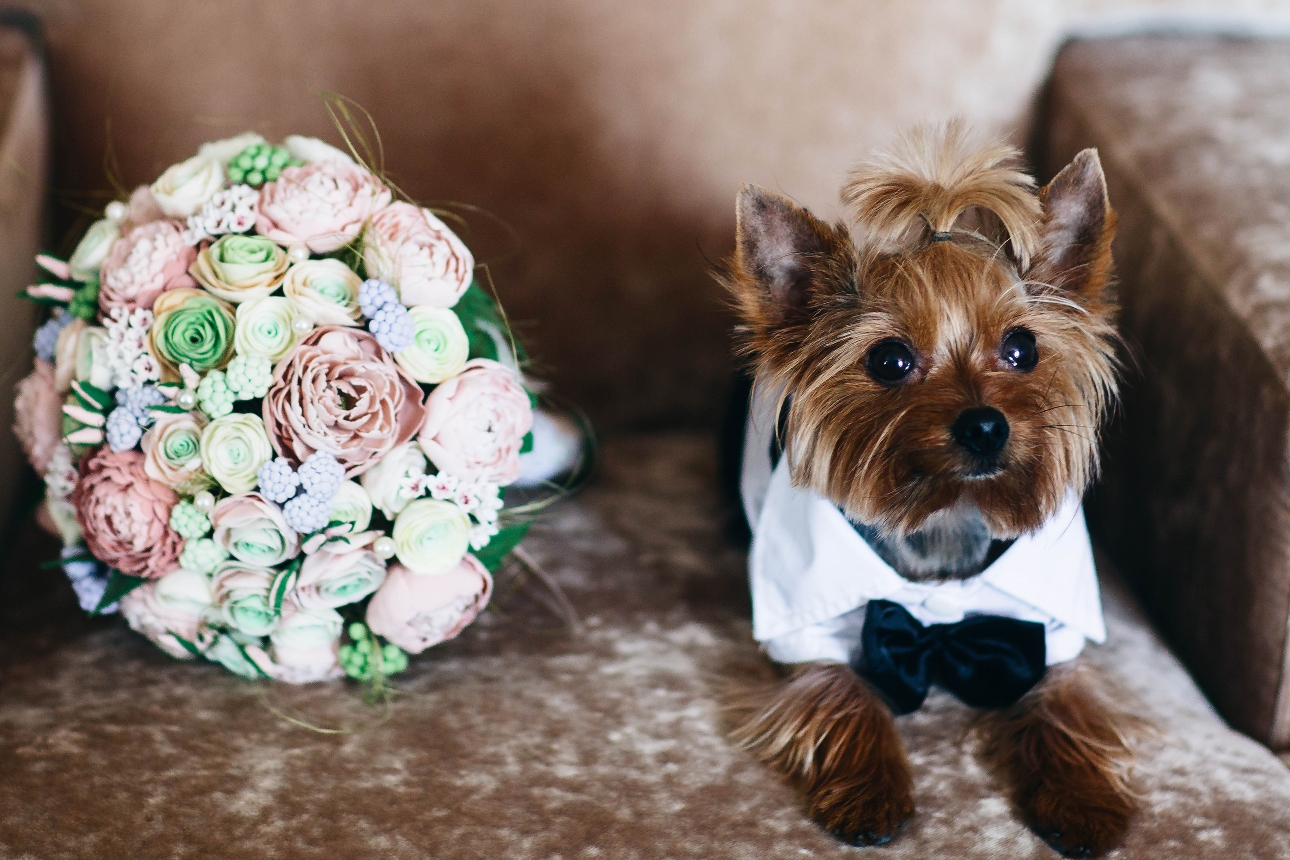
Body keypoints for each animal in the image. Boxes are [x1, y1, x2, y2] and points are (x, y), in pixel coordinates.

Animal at [722, 122, 1135, 860]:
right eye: (890, 360)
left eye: (1024, 348)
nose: (985, 424)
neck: (947, 515)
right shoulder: (804, 627)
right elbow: (836, 688)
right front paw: (870, 791)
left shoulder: (1054, 629)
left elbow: (1067, 698)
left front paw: (1084, 798)